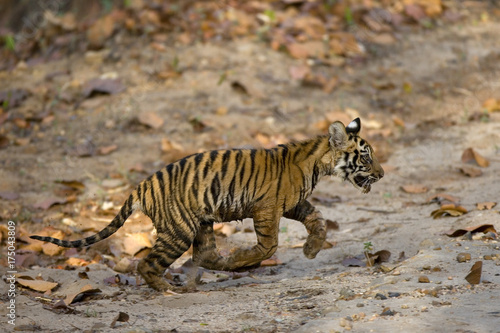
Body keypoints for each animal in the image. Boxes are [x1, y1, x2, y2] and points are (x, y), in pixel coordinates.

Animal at [30, 118, 382, 290]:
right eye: (366, 157)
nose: (382, 174)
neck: (318, 163)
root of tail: (142, 186)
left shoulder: (292, 204)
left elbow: (318, 218)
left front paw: (311, 249)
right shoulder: (268, 209)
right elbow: (269, 244)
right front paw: (249, 256)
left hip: (201, 224)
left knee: (207, 255)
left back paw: (225, 268)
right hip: (179, 230)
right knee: (148, 263)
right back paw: (171, 289)